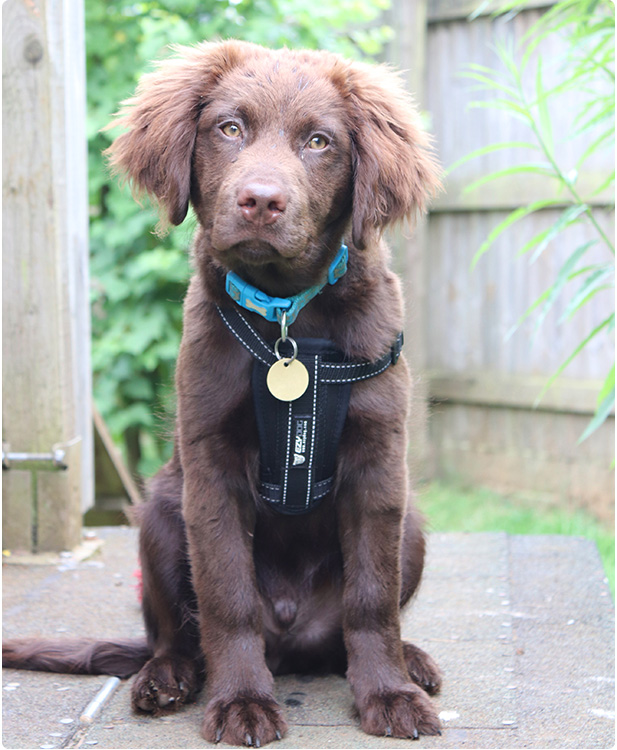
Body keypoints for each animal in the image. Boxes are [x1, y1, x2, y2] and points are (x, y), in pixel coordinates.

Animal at [2, 42, 440, 750]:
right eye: (229, 128)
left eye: (319, 141)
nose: (261, 200)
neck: (289, 318)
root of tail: (290, 637)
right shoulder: (210, 466)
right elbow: (226, 596)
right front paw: (241, 702)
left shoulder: (380, 462)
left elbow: (372, 598)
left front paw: (389, 694)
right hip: (159, 513)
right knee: (177, 634)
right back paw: (166, 678)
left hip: (415, 527)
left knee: (346, 633)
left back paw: (412, 661)